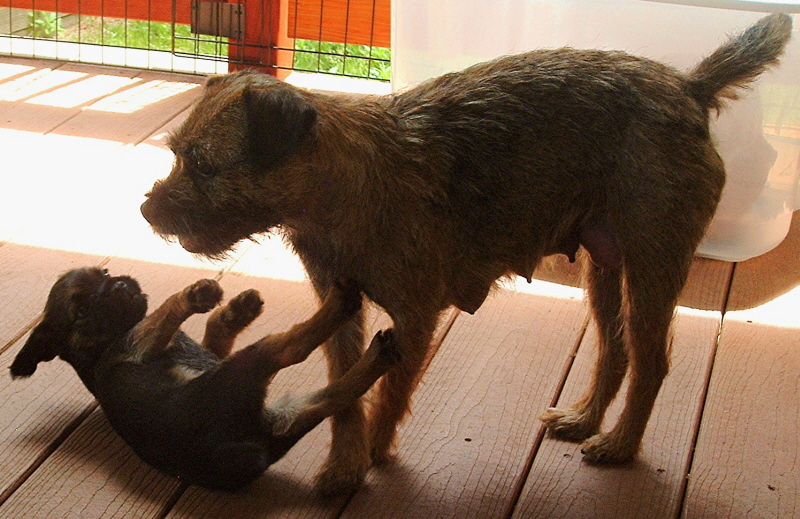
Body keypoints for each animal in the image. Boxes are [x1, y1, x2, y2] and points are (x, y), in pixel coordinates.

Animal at [6, 268, 394, 492]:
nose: (118, 283)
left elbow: (212, 328)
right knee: (289, 348)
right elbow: (166, 308)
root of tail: (259, 446)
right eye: (82, 308)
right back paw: (340, 304)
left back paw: (379, 356)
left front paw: (236, 311)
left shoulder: (205, 351)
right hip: (246, 366)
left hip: (287, 407)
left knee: (335, 395)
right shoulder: (140, 344)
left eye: (103, 272)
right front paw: (195, 295)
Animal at [141, 15, 792, 496]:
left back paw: (619, 444)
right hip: (604, 269)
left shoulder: (414, 316)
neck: (347, 186)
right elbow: (345, 389)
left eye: (204, 166)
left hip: (653, 264)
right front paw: (345, 463)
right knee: (615, 349)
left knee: (652, 362)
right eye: (176, 153)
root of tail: (690, 88)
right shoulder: (340, 308)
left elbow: (390, 389)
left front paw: (374, 453)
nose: (149, 211)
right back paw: (584, 419)